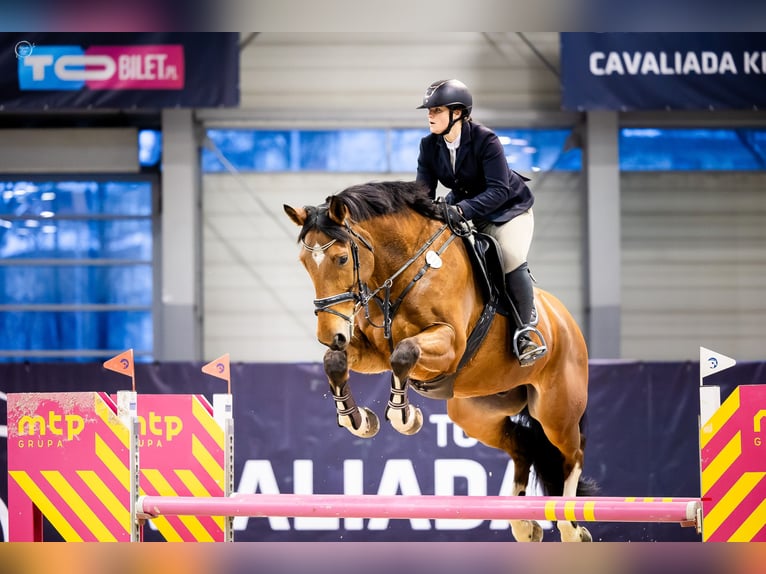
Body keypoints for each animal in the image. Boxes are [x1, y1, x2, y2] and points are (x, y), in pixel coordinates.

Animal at [284, 181, 596, 544]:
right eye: (305, 262)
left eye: (342, 258)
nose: (329, 334)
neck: (404, 268)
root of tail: (566, 321)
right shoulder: (372, 351)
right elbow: (335, 361)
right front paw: (358, 420)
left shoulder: (448, 344)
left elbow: (404, 354)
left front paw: (405, 417)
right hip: (474, 411)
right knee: (523, 446)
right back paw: (523, 524)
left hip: (556, 410)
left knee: (572, 454)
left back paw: (570, 526)